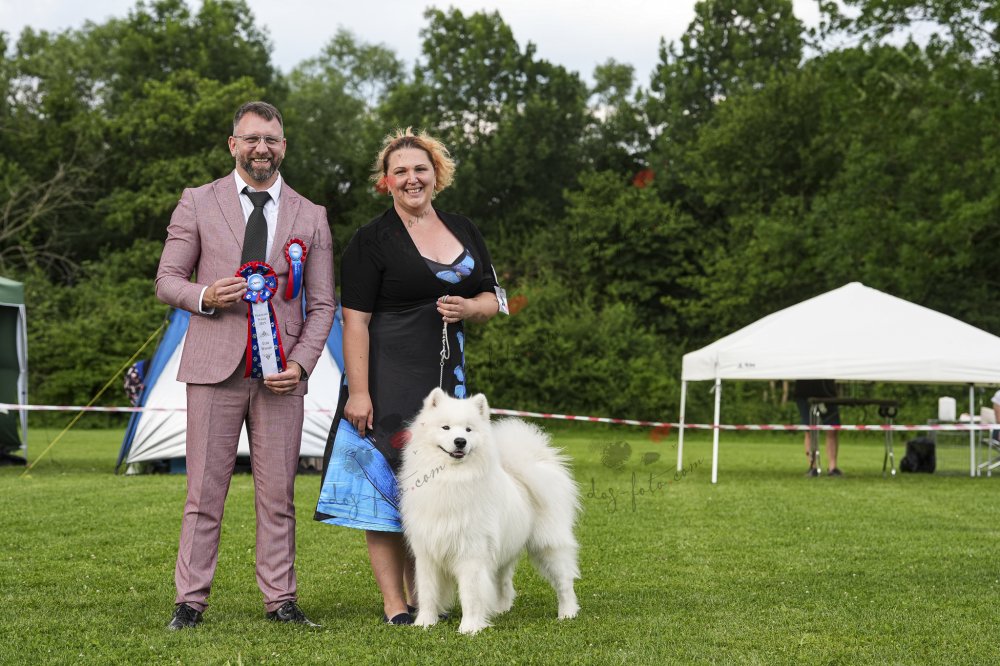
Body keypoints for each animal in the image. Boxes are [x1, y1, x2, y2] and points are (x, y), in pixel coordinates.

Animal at [399, 388, 580, 635]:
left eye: (468, 429)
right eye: (445, 428)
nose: (460, 441)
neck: (451, 478)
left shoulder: (471, 553)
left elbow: (470, 594)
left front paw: (469, 628)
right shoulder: (427, 552)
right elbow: (427, 592)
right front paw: (425, 623)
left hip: (547, 545)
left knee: (564, 580)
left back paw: (567, 613)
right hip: (503, 548)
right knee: (504, 581)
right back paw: (501, 609)